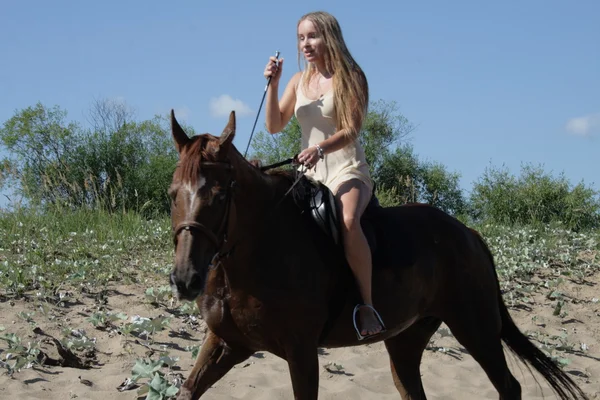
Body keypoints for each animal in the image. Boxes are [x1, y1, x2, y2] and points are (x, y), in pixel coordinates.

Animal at [166, 110, 588, 400]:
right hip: (407, 339)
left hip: (477, 329)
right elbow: (187, 390)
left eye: (220, 195)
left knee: (509, 386)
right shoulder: (227, 343)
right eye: (173, 193)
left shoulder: (300, 352)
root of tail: (468, 235)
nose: (186, 279)